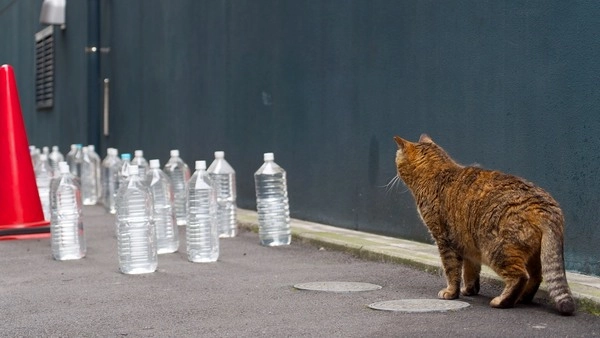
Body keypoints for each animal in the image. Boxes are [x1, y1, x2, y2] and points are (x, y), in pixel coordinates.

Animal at [394, 133, 576, 316]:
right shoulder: (467, 245)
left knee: (520, 277)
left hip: (496, 249)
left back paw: (502, 301)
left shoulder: (444, 240)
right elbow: (470, 271)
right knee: (536, 277)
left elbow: (452, 270)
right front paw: (469, 290)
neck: (436, 173)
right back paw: (522, 298)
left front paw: (451, 292)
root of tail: (545, 206)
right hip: (534, 254)